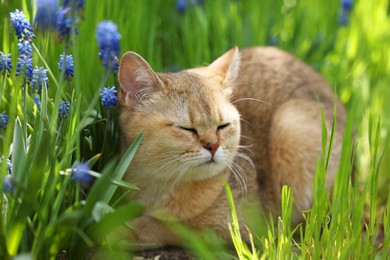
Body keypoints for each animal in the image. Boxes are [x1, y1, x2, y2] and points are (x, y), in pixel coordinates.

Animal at [116, 45, 348, 249]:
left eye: (222, 126)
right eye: (187, 129)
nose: (213, 146)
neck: (161, 184)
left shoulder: (238, 226)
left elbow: (164, 225)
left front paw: (120, 231)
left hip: (290, 126)